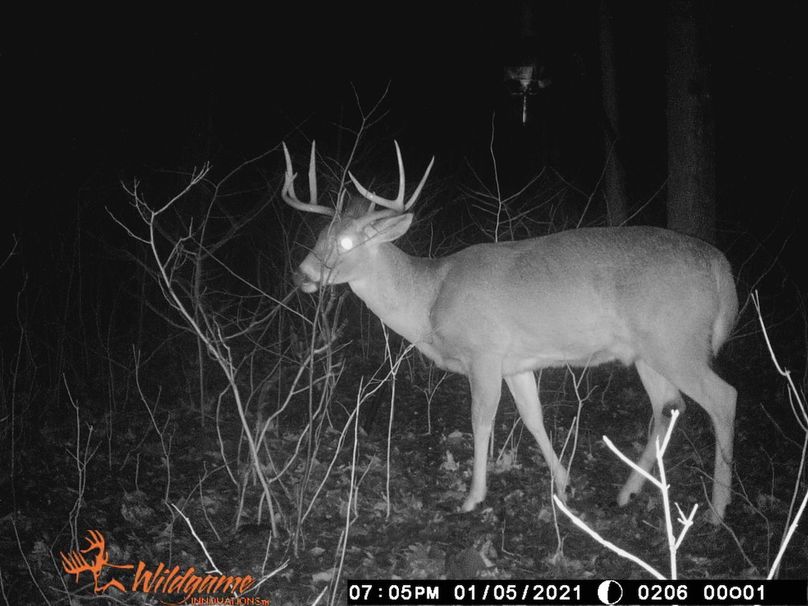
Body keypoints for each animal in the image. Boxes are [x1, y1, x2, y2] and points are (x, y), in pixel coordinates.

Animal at [281, 141, 738, 523]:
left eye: (344, 244)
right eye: (318, 236)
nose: (300, 275)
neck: (430, 297)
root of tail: (722, 270)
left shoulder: (484, 353)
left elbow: (481, 419)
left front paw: (472, 497)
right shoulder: (517, 362)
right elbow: (533, 417)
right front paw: (564, 484)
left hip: (676, 341)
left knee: (723, 398)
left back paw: (717, 511)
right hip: (648, 351)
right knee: (669, 406)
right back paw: (627, 494)